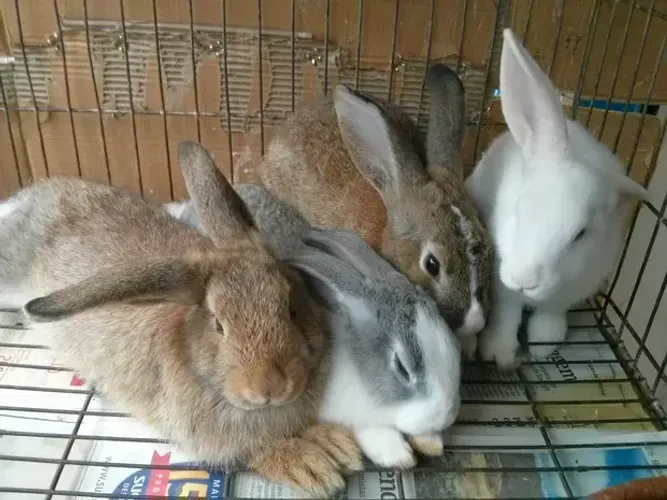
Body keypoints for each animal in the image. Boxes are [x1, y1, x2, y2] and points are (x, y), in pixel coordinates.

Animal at [0, 142, 363, 498]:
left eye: (290, 307)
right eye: (218, 325)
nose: (267, 388)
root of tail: (29, 195)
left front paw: (338, 446)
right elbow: (255, 451)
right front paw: (313, 465)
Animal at [464, 29, 651, 370]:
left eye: (580, 235)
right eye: (519, 210)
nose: (524, 278)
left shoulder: (571, 290)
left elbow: (549, 315)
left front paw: (543, 347)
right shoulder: (502, 286)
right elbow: (505, 316)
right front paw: (498, 354)